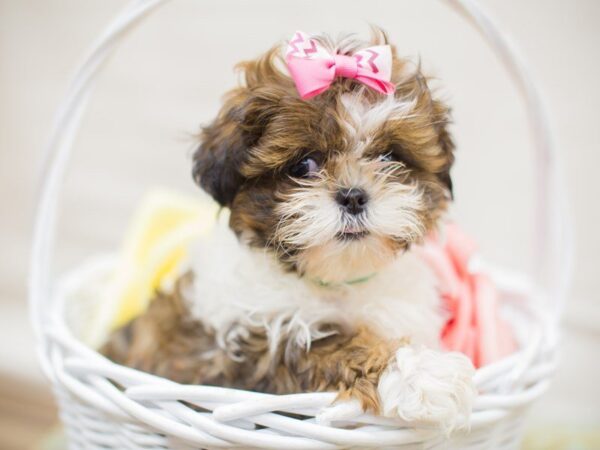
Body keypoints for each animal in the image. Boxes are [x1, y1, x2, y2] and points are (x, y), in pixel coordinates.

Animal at [104, 28, 478, 432]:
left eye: (390, 157)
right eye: (303, 166)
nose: (353, 196)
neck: (336, 282)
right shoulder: (251, 345)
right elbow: (330, 345)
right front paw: (424, 374)